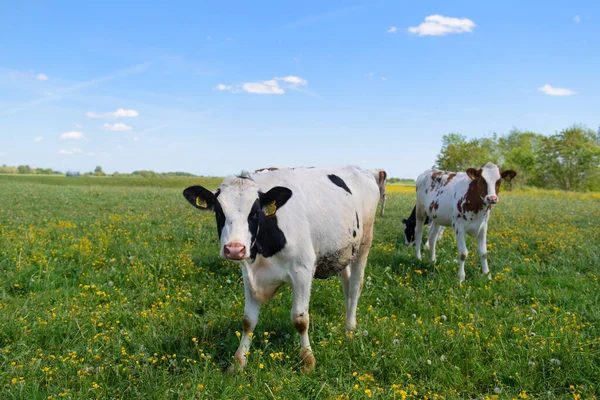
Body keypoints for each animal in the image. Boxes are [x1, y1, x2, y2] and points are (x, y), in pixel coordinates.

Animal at [183, 164, 380, 374]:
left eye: (254, 212)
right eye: (219, 212)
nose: (234, 249)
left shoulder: (302, 270)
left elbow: (300, 319)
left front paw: (308, 361)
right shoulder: (249, 273)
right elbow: (248, 320)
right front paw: (238, 361)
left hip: (364, 243)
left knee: (355, 286)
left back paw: (350, 329)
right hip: (344, 251)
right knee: (347, 286)